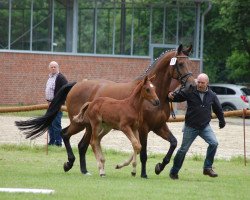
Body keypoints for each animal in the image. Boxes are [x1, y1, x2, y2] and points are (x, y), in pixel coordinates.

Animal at [15, 44, 197, 178]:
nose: (192, 85)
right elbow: (143, 151)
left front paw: (160, 166)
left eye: (191, 63)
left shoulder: (159, 126)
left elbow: (173, 143)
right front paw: (143, 173)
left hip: (90, 126)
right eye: (181, 64)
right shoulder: (144, 128)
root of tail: (77, 84)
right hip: (80, 123)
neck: (154, 94)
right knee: (65, 134)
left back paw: (84, 170)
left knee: (83, 144)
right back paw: (69, 163)